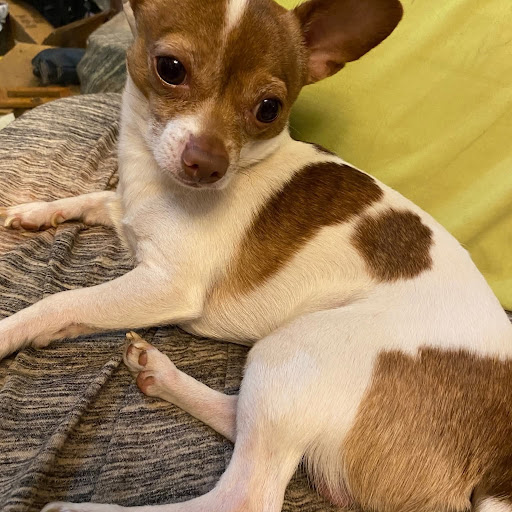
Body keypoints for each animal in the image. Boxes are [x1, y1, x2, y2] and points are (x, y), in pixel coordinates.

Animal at [0, 0, 511, 510]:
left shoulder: (166, 285)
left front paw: (11, 331)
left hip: (291, 350)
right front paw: (34, 212)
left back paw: (79, 504)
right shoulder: (126, 216)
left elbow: (60, 302)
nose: (207, 163)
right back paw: (161, 374)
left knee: (242, 496)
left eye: (269, 109)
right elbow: (93, 200)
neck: (152, 177)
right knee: (240, 419)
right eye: (170, 69)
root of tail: (495, 465)